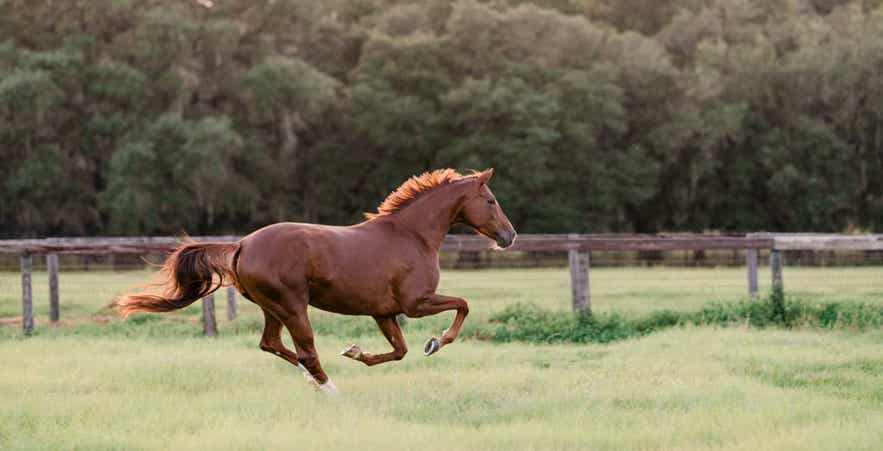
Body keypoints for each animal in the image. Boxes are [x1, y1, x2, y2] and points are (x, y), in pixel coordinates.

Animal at [111, 168, 516, 394]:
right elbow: (463, 304)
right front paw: (436, 342)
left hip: (273, 308)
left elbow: (398, 351)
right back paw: (331, 389)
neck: (412, 235)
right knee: (305, 350)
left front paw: (356, 351)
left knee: (271, 343)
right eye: (491, 200)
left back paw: (312, 380)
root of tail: (242, 244)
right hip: (293, 307)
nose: (509, 236)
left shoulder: (383, 312)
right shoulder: (416, 304)